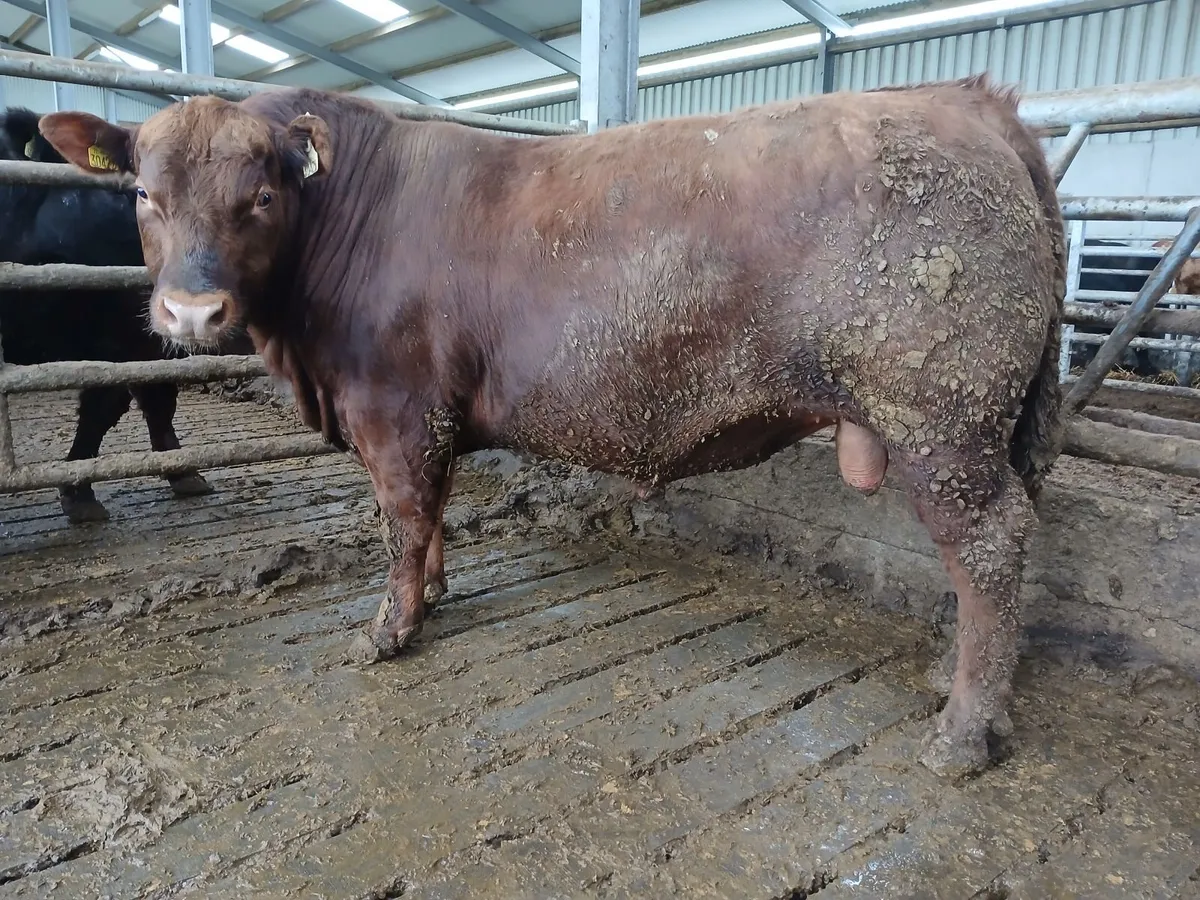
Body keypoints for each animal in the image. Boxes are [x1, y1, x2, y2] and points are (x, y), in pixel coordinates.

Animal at [41, 73, 1066, 778]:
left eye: (259, 196)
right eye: (143, 194)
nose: (191, 312)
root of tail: (971, 101)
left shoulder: (394, 409)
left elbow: (402, 516)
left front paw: (390, 629)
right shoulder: (437, 412)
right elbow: (436, 510)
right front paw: (436, 593)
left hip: (942, 419)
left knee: (991, 548)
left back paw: (964, 730)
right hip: (984, 428)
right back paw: (949, 674)